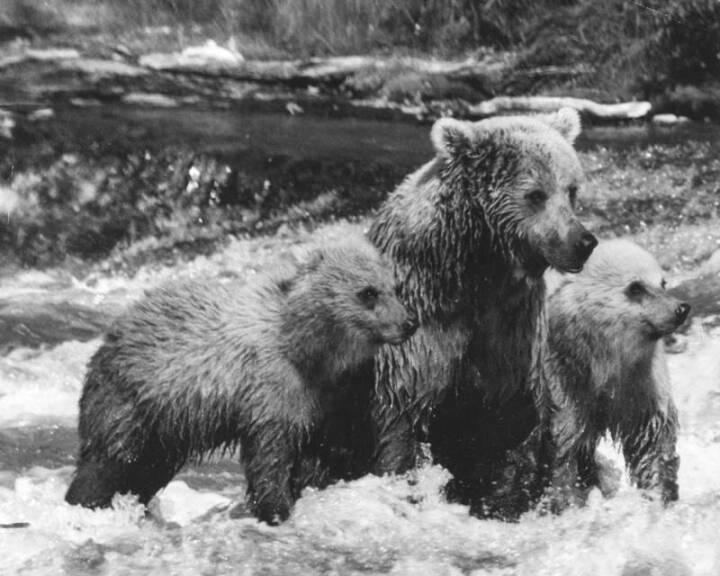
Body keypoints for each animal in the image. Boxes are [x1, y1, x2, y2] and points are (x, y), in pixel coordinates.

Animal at [64, 237, 418, 525]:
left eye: (394, 287)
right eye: (368, 292)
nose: (408, 322)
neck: (306, 346)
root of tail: (109, 336)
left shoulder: (327, 396)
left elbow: (322, 448)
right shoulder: (271, 385)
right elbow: (270, 453)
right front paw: (276, 508)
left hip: (167, 430)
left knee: (147, 471)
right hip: (134, 402)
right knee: (109, 462)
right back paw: (84, 502)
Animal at [363, 108, 598, 509]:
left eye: (571, 189)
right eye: (535, 193)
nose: (583, 241)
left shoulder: (510, 328)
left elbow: (509, 425)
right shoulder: (422, 322)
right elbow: (403, 421)